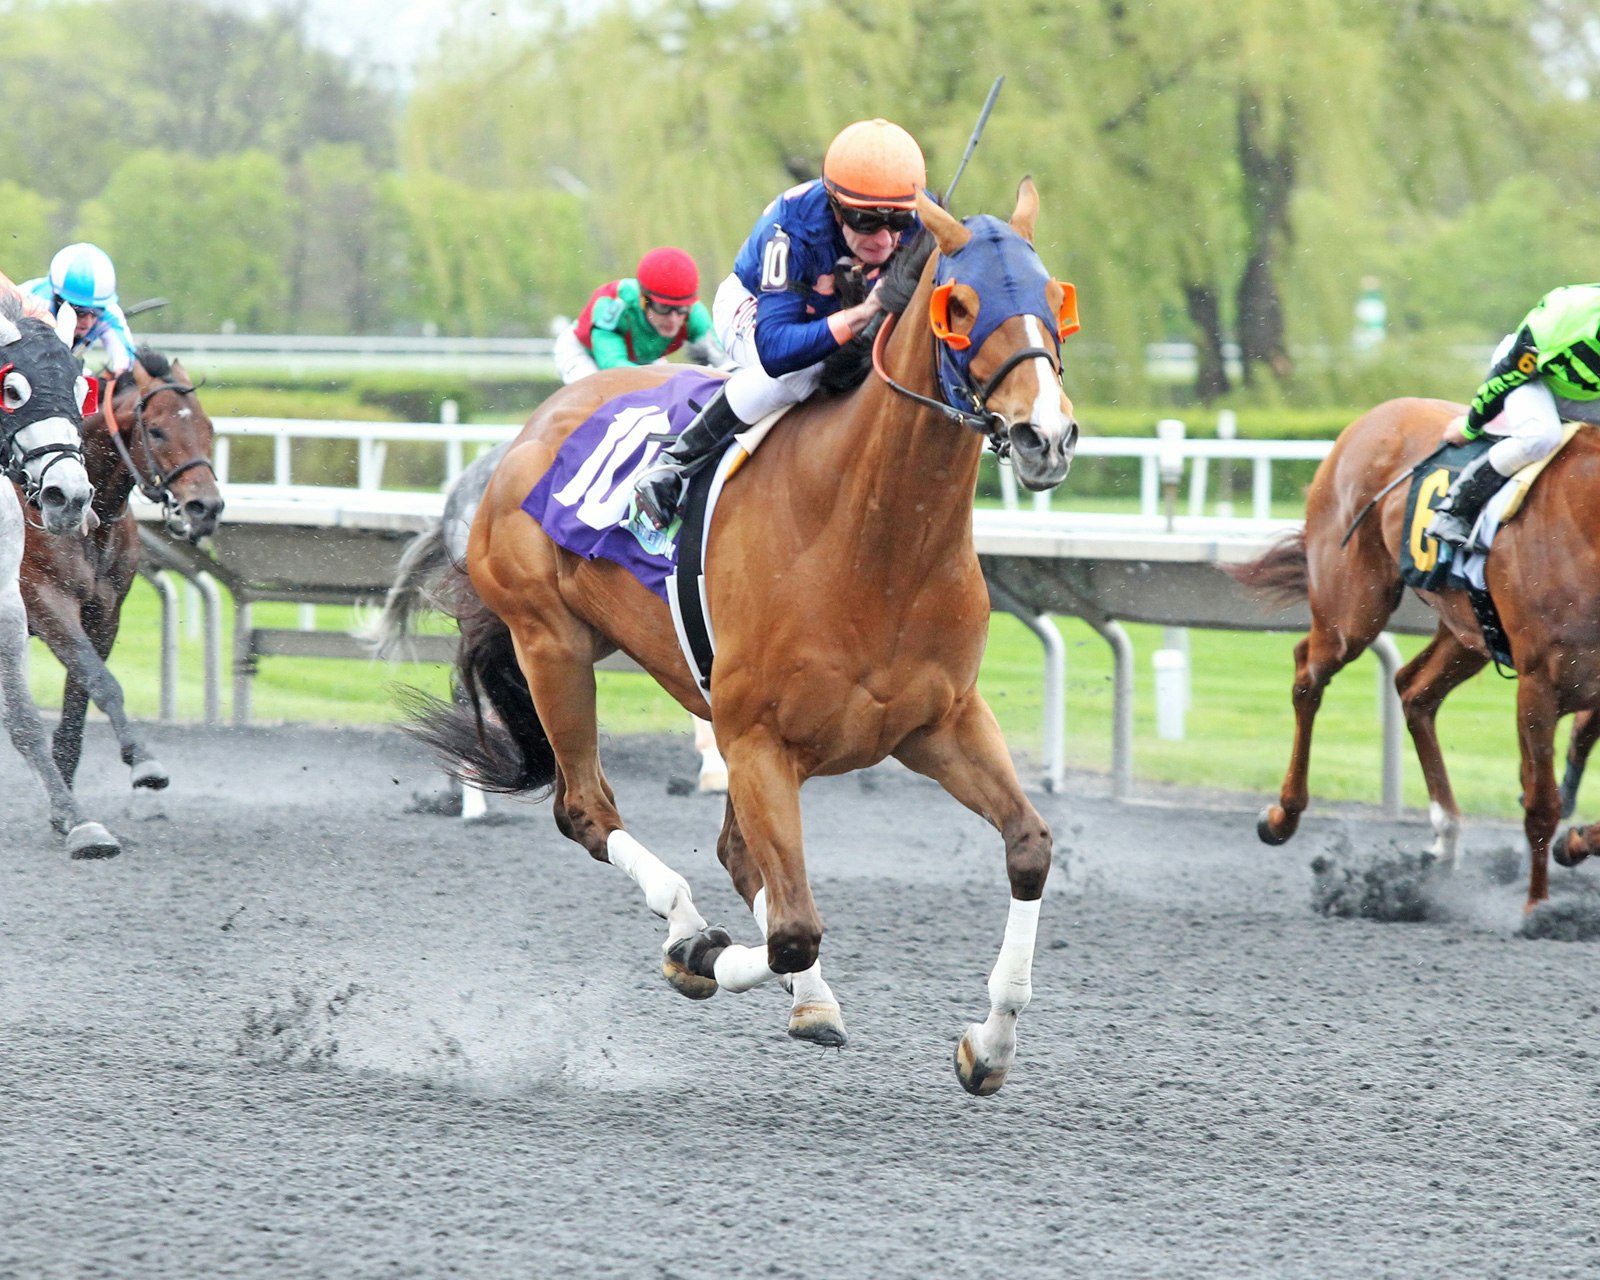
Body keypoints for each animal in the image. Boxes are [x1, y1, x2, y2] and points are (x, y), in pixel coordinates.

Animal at [20, 349, 222, 793]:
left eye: (209, 427)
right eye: (157, 430)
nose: (206, 507)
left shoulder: (105, 615)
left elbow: (77, 712)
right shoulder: (45, 602)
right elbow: (102, 682)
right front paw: (143, 759)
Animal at [405, 182, 1078, 1094]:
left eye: (1053, 300)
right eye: (960, 306)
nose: (1049, 436)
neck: (874, 540)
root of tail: (533, 427)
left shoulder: (940, 723)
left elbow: (1029, 848)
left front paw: (991, 1043)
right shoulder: (759, 738)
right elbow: (792, 928)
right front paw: (700, 954)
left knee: (733, 850)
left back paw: (806, 993)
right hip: (551, 644)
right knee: (586, 809)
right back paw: (692, 929)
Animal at [1229, 396, 1600, 911]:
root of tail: (1373, 416)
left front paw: (1573, 843)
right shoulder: (1538, 683)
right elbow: (1541, 803)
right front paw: (1537, 909)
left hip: (1468, 632)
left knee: (1414, 690)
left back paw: (1446, 838)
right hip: (1352, 610)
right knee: (1309, 672)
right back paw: (1283, 816)